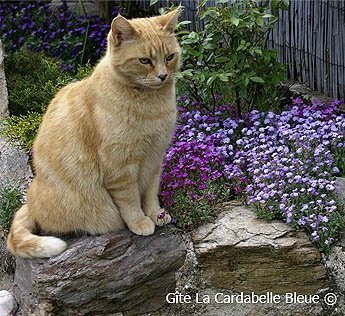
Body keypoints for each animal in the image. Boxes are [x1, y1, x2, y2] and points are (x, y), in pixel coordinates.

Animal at [6, 8, 181, 258]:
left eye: (169, 57)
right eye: (145, 61)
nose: (163, 75)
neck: (150, 103)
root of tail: (30, 201)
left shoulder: (155, 158)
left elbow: (150, 192)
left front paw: (157, 213)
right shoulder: (120, 166)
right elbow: (130, 200)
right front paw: (140, 222)